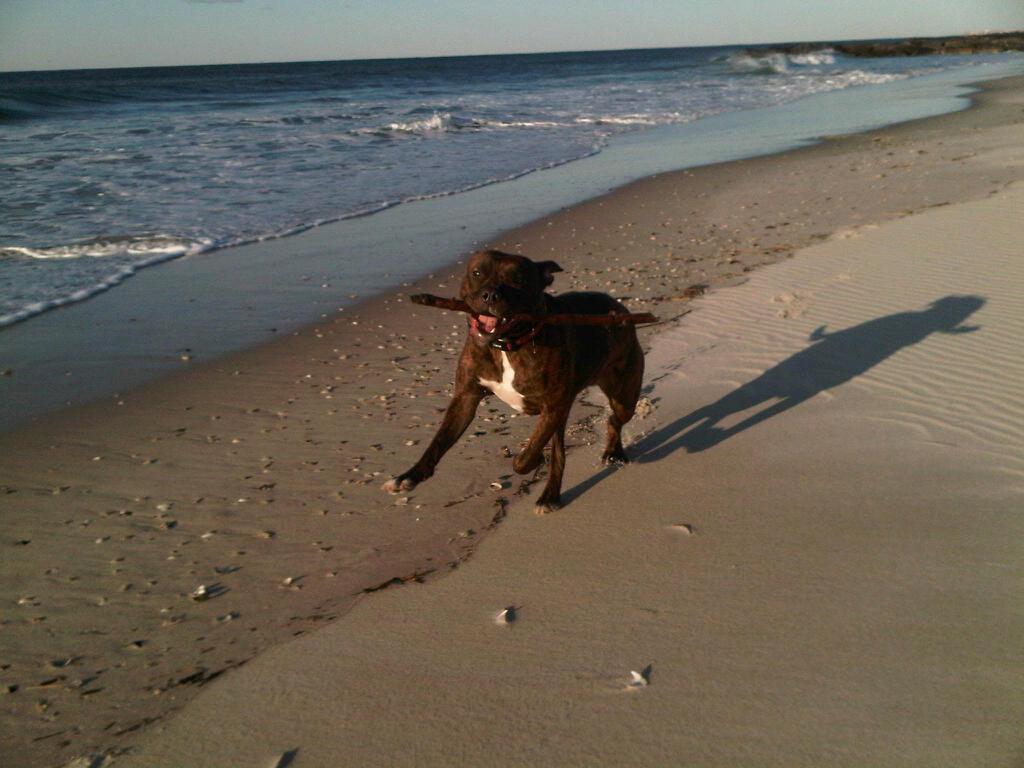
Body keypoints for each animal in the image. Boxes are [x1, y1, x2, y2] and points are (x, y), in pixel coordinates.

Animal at [380, 252, 643, 514]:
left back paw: (611, 453)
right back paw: (551, 494)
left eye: (518, 279)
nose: (490, 294)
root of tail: (619, 308)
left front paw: (529, 460)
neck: (507, 344)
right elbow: (438, 442)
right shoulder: (465, 399)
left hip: (622, 397)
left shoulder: (552, 407)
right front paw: (409, 476)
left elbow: (526, 456)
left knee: (613, 420)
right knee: (561, 450)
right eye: (477, 273)